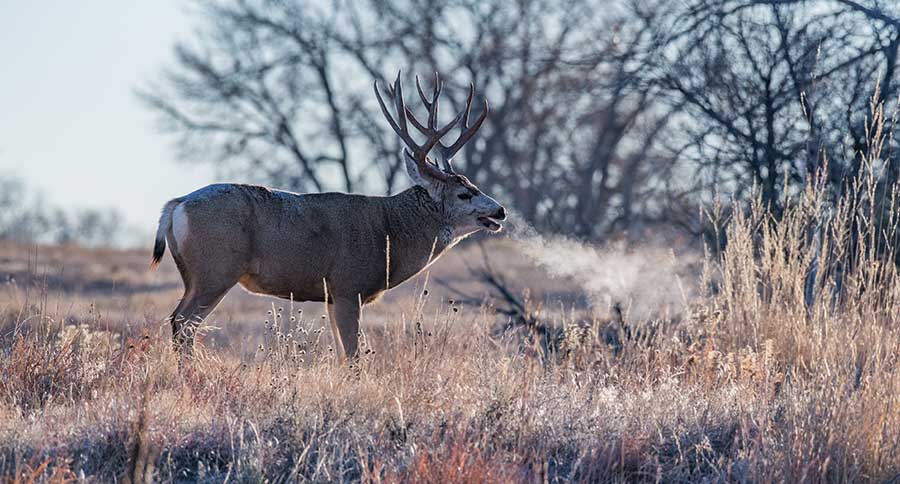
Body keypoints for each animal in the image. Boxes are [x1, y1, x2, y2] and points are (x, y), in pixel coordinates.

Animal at [149, 72, 506, 360]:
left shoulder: (332, 297)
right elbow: (353, 355)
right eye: (464, 194)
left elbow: (340, 353)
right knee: (184, 323)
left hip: (193, 274)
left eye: (474, 184)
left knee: (177, 320)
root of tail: (177, 205)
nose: (500, 210)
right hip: (216, 269)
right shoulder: (349, 285)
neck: (389, 233)